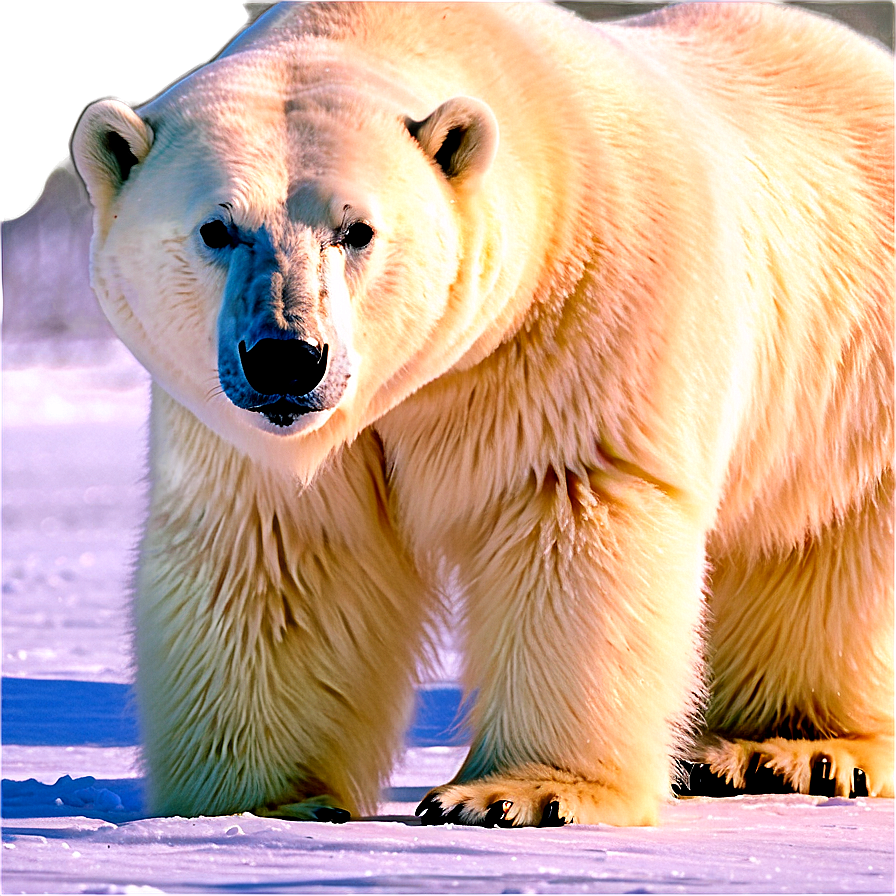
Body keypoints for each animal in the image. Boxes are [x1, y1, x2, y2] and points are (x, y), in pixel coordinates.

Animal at [72, 1, 896, 824]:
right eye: (217, 228)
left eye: (357, 228)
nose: (285, 357)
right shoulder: (246, 434)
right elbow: (280, 553)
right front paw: (264, 803)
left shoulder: (584, 318)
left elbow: (569, 522)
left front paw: (519, 793)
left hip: (849, 373)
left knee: (828, 551)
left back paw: (796, 750)